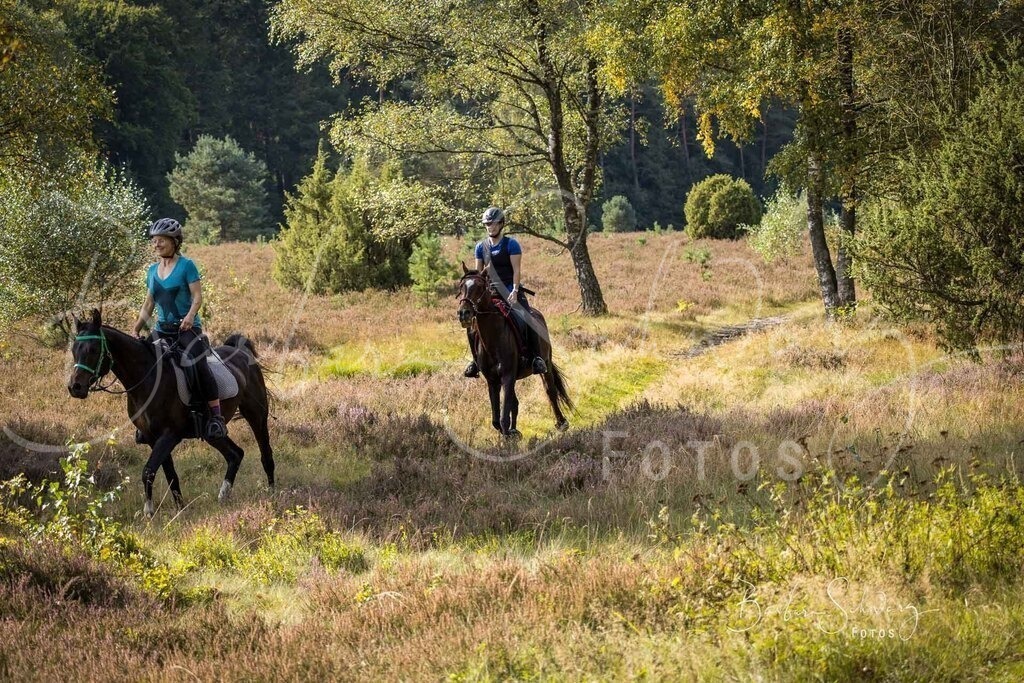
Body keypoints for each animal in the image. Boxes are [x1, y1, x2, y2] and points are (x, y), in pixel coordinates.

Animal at [67, 309, 274, 517]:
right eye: (74, 350)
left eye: (93, 349)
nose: (75, 387)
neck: (147, 379)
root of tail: (242, 353)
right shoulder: (153, 438)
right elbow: (169, 473)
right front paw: (180, 510)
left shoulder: (169, 435)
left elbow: (148, 471)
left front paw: (149, 511)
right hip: (210, 433)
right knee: (235, 454)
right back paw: (223, 495)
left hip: (256, 414)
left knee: (265, 452)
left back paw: (272, 492)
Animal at [457, 267, 573, 437]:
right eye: (461, 286)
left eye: (480, 287)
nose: (463, 313)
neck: (493, 338)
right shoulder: (493, 380)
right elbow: (496, 419)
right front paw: (511, 435)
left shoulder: (508, 376)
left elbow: (503, 417)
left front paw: (508, 438)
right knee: (515, 403)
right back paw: (515, 429)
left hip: (546, 363)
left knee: (550, 391)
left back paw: (561, 423)